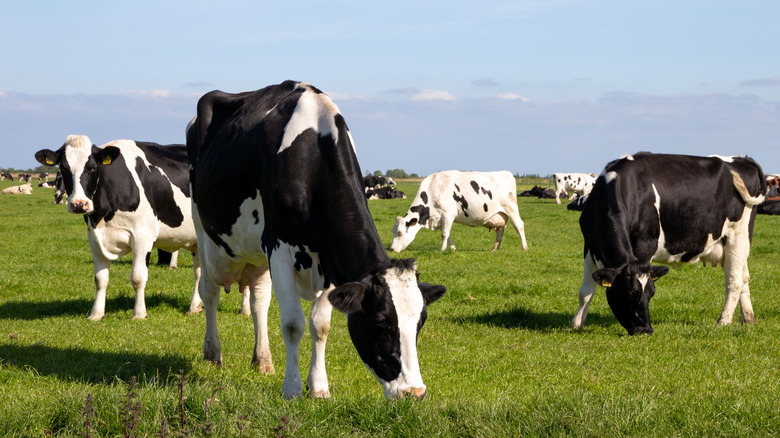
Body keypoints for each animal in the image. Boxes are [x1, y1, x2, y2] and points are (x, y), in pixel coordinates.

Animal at [33, 135, 204, 320]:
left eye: (92, 168)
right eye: (63, 168)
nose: (79, 204)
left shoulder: (143, 236)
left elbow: (138, 277)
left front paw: (139, 314)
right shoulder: (94, 238)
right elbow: (100, 279)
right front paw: (96, 314)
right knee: (200, 272)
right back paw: (195, 307)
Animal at [186, 81, 448, 400]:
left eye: (421, 321)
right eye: (381, 321)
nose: (414, 392)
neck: (310, 157)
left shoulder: (329, 257)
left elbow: (320, 325)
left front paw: (319, 386)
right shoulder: (278, 247)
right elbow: (292, 324)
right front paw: (292, 388)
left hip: (256, 252)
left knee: (259, 301)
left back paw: (262, 360)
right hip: (204, 231)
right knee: (209, 290)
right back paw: (212, 353)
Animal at [390, 169, 532, 252]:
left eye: (400, 233)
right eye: (393, 231)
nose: (391, 249)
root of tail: (506, 173)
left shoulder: (448, 213)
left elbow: (444, 234)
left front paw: (442, 249)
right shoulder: (442, 218)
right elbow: (447, 233)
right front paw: (452, 248)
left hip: (511, 209)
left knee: (519, 226)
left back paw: (525, 247)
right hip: (499, 214)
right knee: (500, 230)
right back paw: (494, 248)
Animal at [568, 152, 764, 334]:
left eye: (651, 293)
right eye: (629, 293)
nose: (646, 330)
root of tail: (742, 159)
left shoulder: (645, 246)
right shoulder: (589, 247)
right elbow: (585, 292)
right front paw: (576, 324)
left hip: (738, 235)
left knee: (734, 280)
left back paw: (723, 321)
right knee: (744, 277)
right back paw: (748, 318)